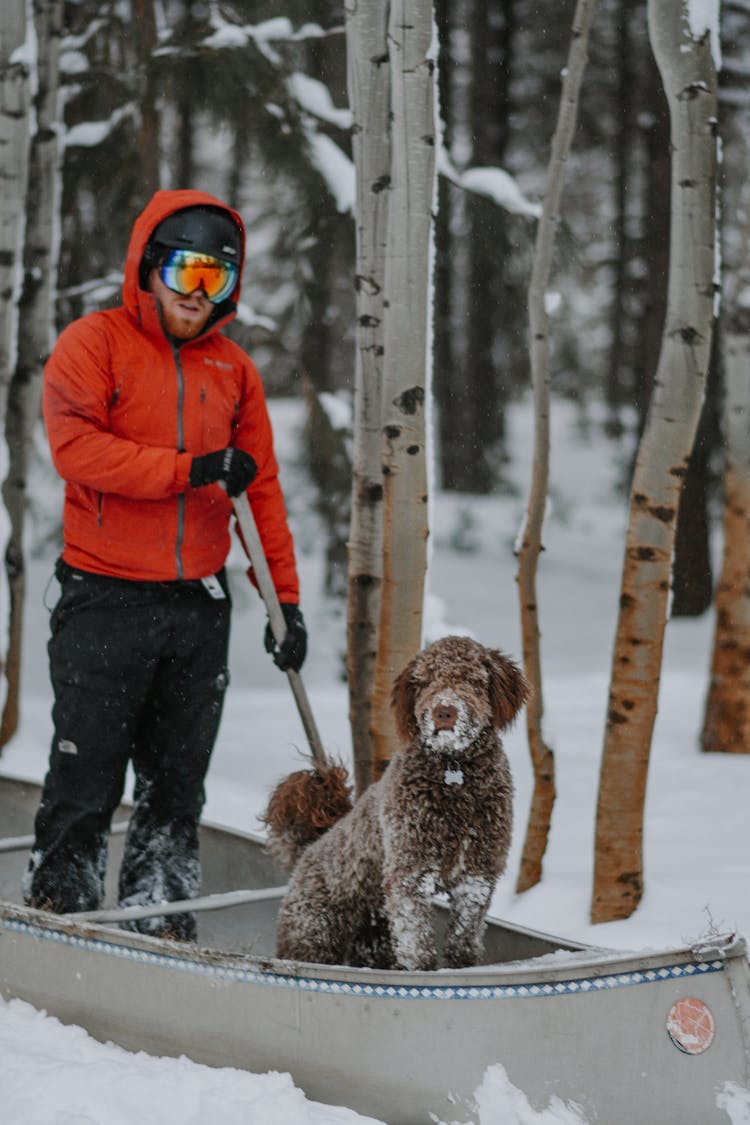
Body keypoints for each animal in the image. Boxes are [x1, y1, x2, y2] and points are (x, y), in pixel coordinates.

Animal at [266, 639, 530, 972]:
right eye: (425, 681)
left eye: (472, 680)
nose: (444, 711)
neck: (453, 772)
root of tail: (309, 849)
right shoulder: (409, 874)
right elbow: (417, 942)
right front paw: (423, 972)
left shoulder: (477, 874)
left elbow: (464, 938)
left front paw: (461, 967)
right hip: (314, 931)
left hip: (372, 936)